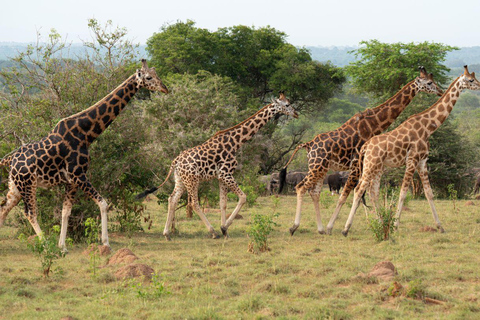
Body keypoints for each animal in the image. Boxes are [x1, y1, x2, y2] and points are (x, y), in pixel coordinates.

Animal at [0, 60, 169, 250]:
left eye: (156, 74)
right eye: (148, 77)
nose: (165, 88)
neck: (86, 135)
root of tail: (9, 159)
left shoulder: (71, 181)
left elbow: (66, 212)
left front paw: (63, 246)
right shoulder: (78, 175)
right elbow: (103, 203)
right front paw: (105, 242)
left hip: (15, 187)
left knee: (4, 209)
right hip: (27, 184)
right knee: (30, 212)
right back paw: (45, 244)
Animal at [137, 91, 298, 239]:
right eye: (287, 105)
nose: (296, 113)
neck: (236, 142)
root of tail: (175, 162)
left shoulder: (221, 177)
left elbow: (223, 203)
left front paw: (225, 229)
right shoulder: (226, 173)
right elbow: (243, 197)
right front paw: (223, 228)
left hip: (180, 180)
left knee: (172, 199)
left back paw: (167, 234)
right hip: (192, 180)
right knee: (194, 203)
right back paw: (212, 232)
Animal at [282, 67, 442, 236]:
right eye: (429, 82)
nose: (440, 91)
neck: (373, 124)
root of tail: (308, 145)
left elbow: (364, 195)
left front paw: (373, 223)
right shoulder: (357, 165)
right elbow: (348, 195)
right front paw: (335, 227)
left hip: (321, 168)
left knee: (314, 192)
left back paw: (319, 229)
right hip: (317, 167)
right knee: (301, 188)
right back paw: (295, 227)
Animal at [342, 65, 480, 235]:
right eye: (471, 80)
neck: (428, 128)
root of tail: (365, 147)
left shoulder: (422, 161)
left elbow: (429, 193)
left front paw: (440, 227)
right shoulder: (412, 159)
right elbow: (403, 192)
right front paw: (395, 226)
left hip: (377, 167)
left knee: (371, 191)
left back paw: (377, 223)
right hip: (370, 165)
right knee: (358, 189)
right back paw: (345, 229)